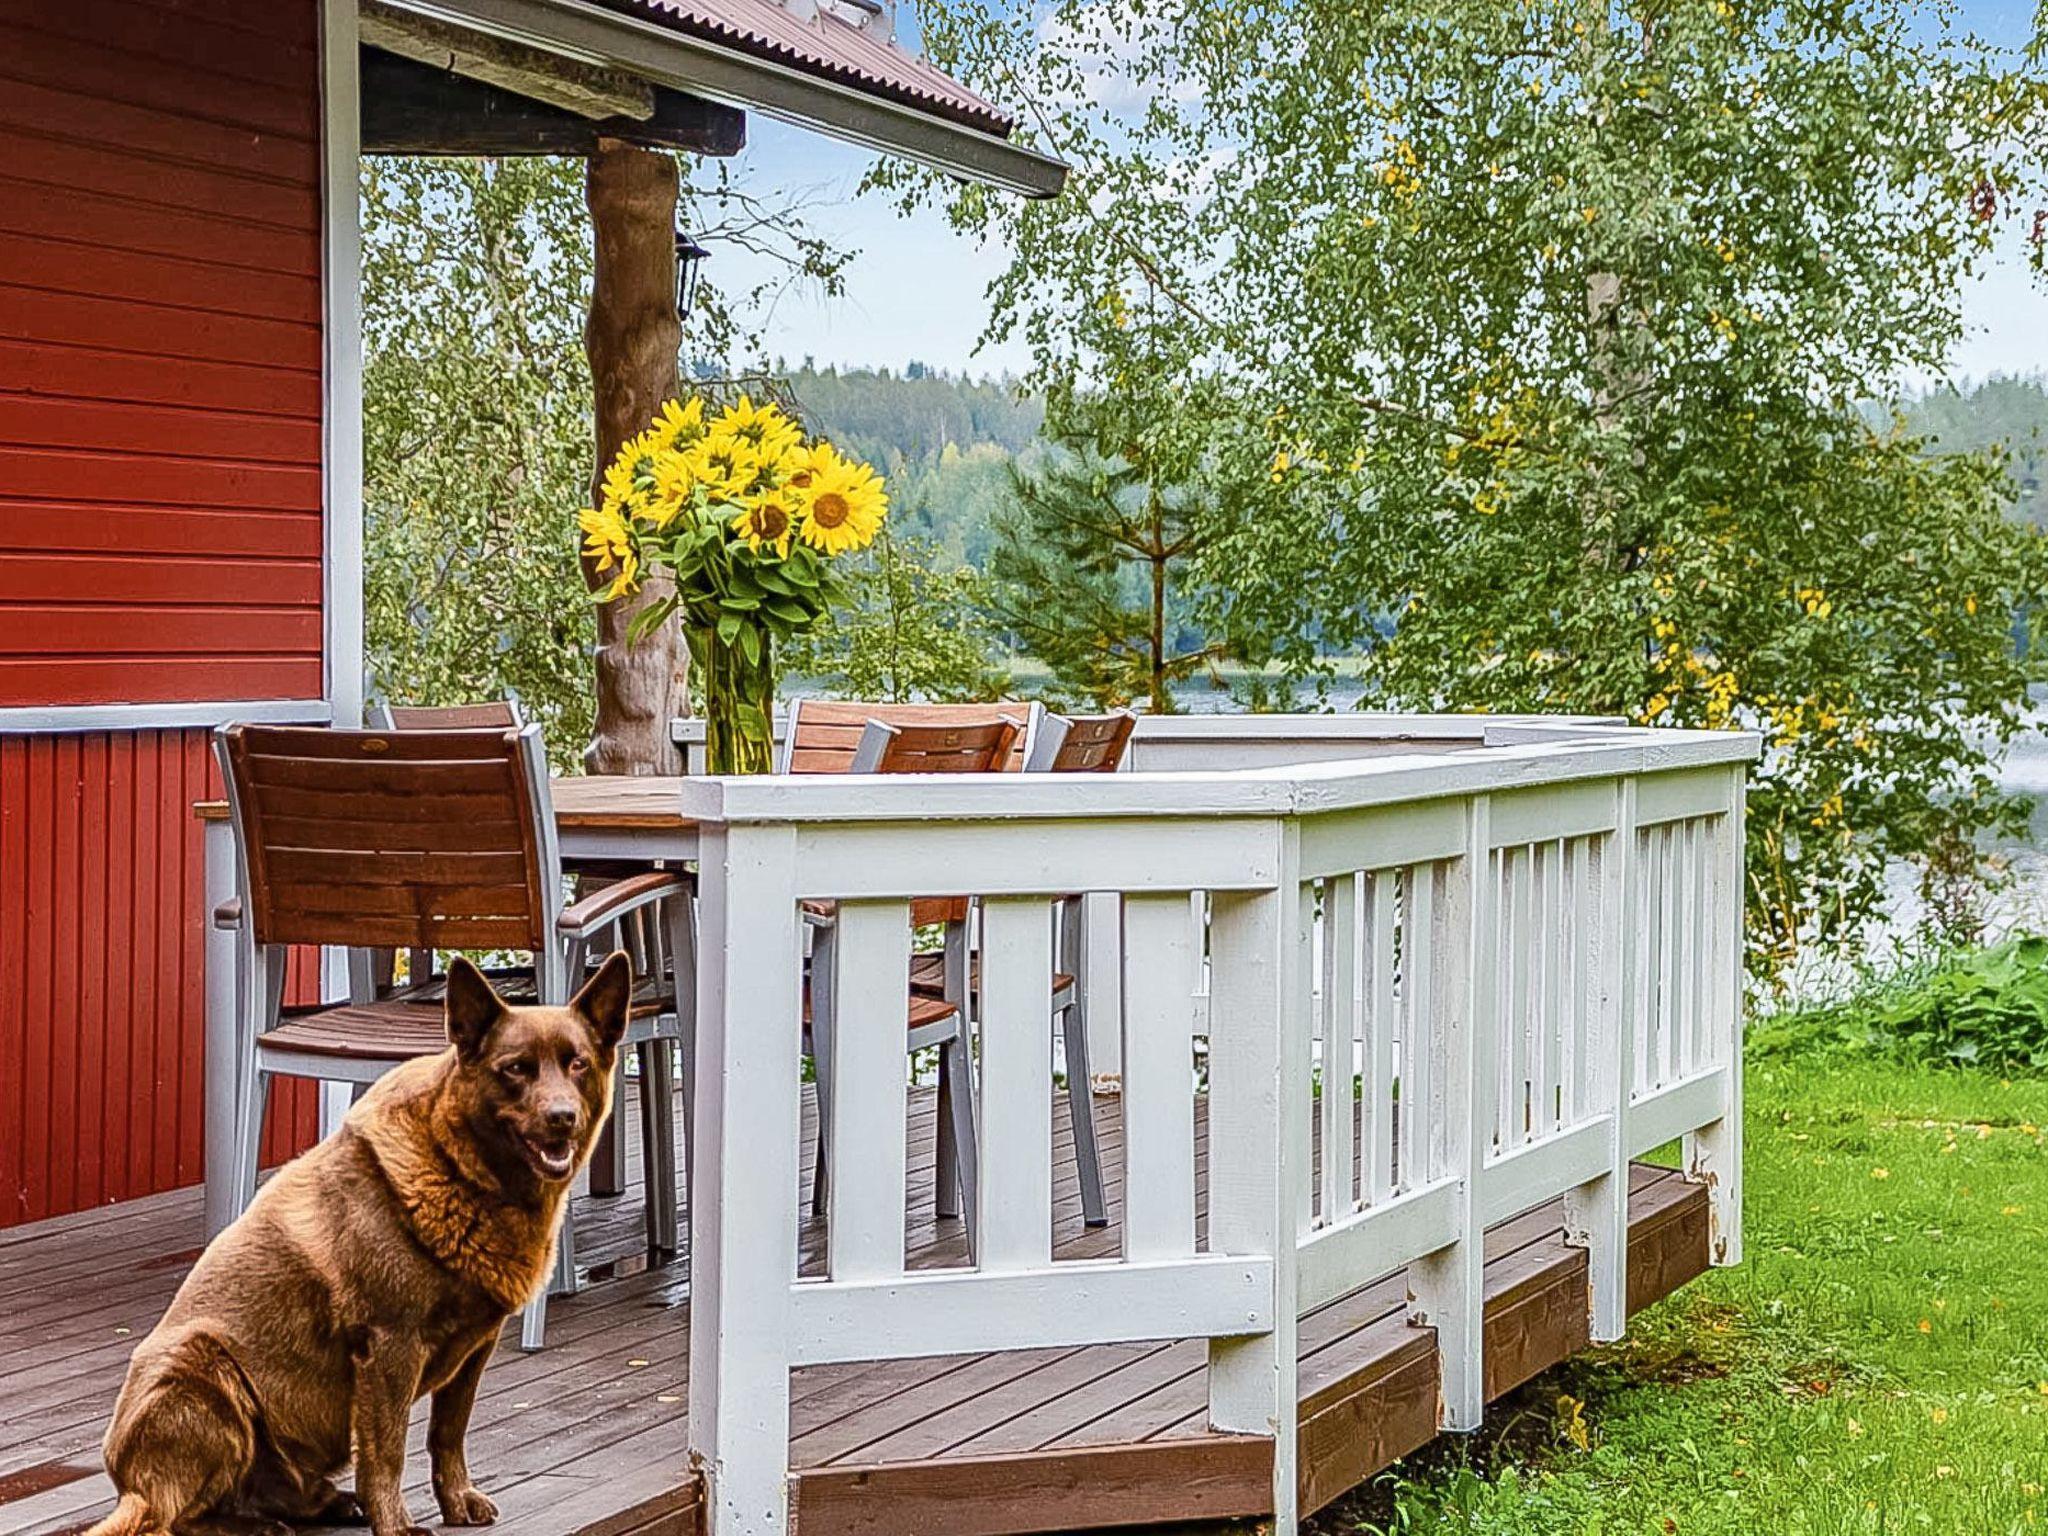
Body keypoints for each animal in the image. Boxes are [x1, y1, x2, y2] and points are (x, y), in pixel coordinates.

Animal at [86, 958, 630, 1531]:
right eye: (517, 1069)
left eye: (577, 1064)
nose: (562, 1117)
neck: (467, 1176)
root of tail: (128, 1483)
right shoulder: (389, 1346)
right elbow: (387, 1452)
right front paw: (394, 1524)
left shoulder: (474, 1350)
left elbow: (448, 1434)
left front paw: (456, 1501)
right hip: (204, 1373)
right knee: (172, 1517)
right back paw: (260, 1524)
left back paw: (326, 1504)